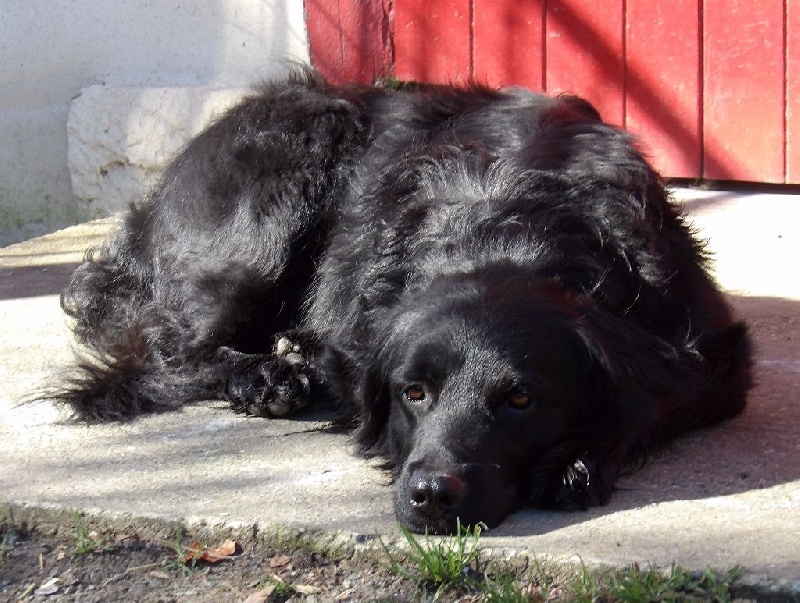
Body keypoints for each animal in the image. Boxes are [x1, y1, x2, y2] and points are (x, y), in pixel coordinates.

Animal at [55, 70, 752, 534]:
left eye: (520, 400)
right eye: (412, 392)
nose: (431, 495)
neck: (509, 229)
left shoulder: (709, 354)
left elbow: (650, 406)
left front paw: (576, 461)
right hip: (271, 195)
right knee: (170, 350)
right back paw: (265, 377)